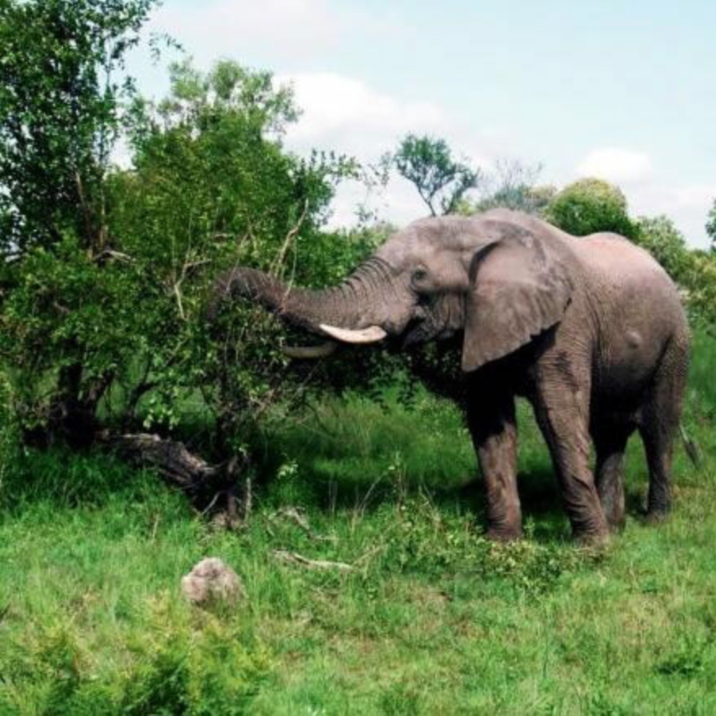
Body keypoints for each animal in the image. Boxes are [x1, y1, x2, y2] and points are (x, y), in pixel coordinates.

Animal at [212, 209, 690, 543]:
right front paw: (502, 543)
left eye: (419, 276)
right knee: (611, 429)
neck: (477, 230)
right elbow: (490, 423)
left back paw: (655, 522)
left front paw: (592, 551)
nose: (215, 299)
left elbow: (559, 421)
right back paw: (618, 524)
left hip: (677, 341)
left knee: (657, 429)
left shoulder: (567, 324)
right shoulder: (481, 323)